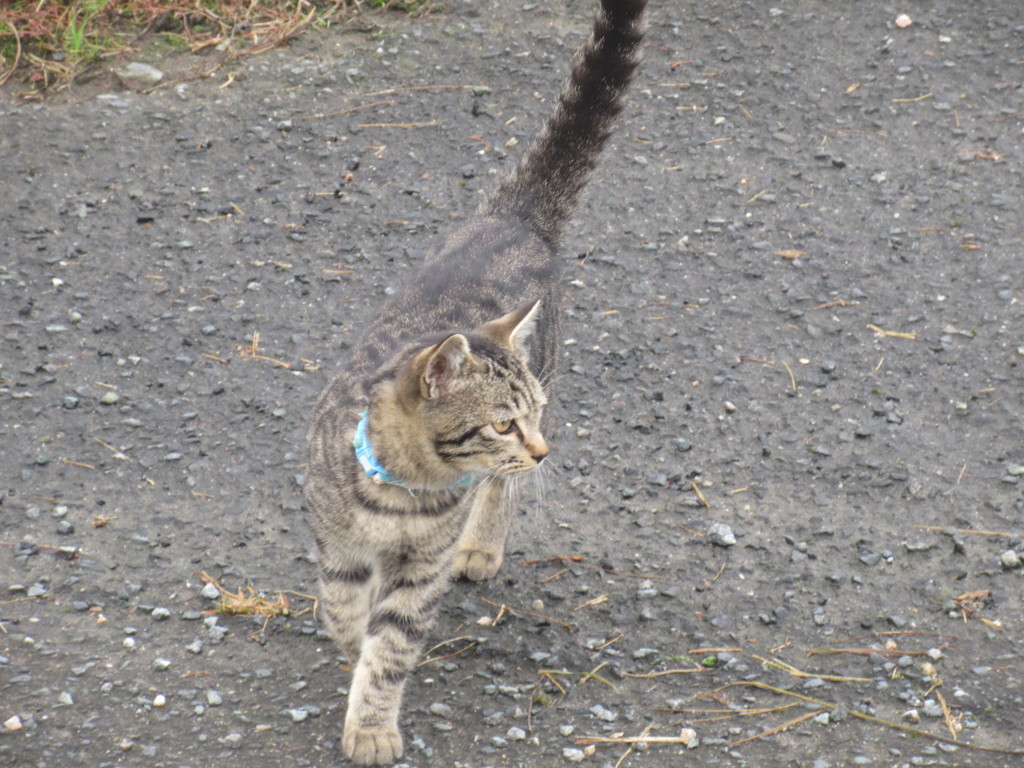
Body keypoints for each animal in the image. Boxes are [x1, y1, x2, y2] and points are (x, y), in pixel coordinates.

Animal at [301, 1, 647, 765]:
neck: (399, 492)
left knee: (501, 489)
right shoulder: (336, 542)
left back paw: (482, 545)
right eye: (500, 421)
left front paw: (372, 723)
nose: (541, 446)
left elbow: (391, 649)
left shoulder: (420, 568)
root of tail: (513, 215)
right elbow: (342, 607)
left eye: (530, 415)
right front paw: (349, 643)